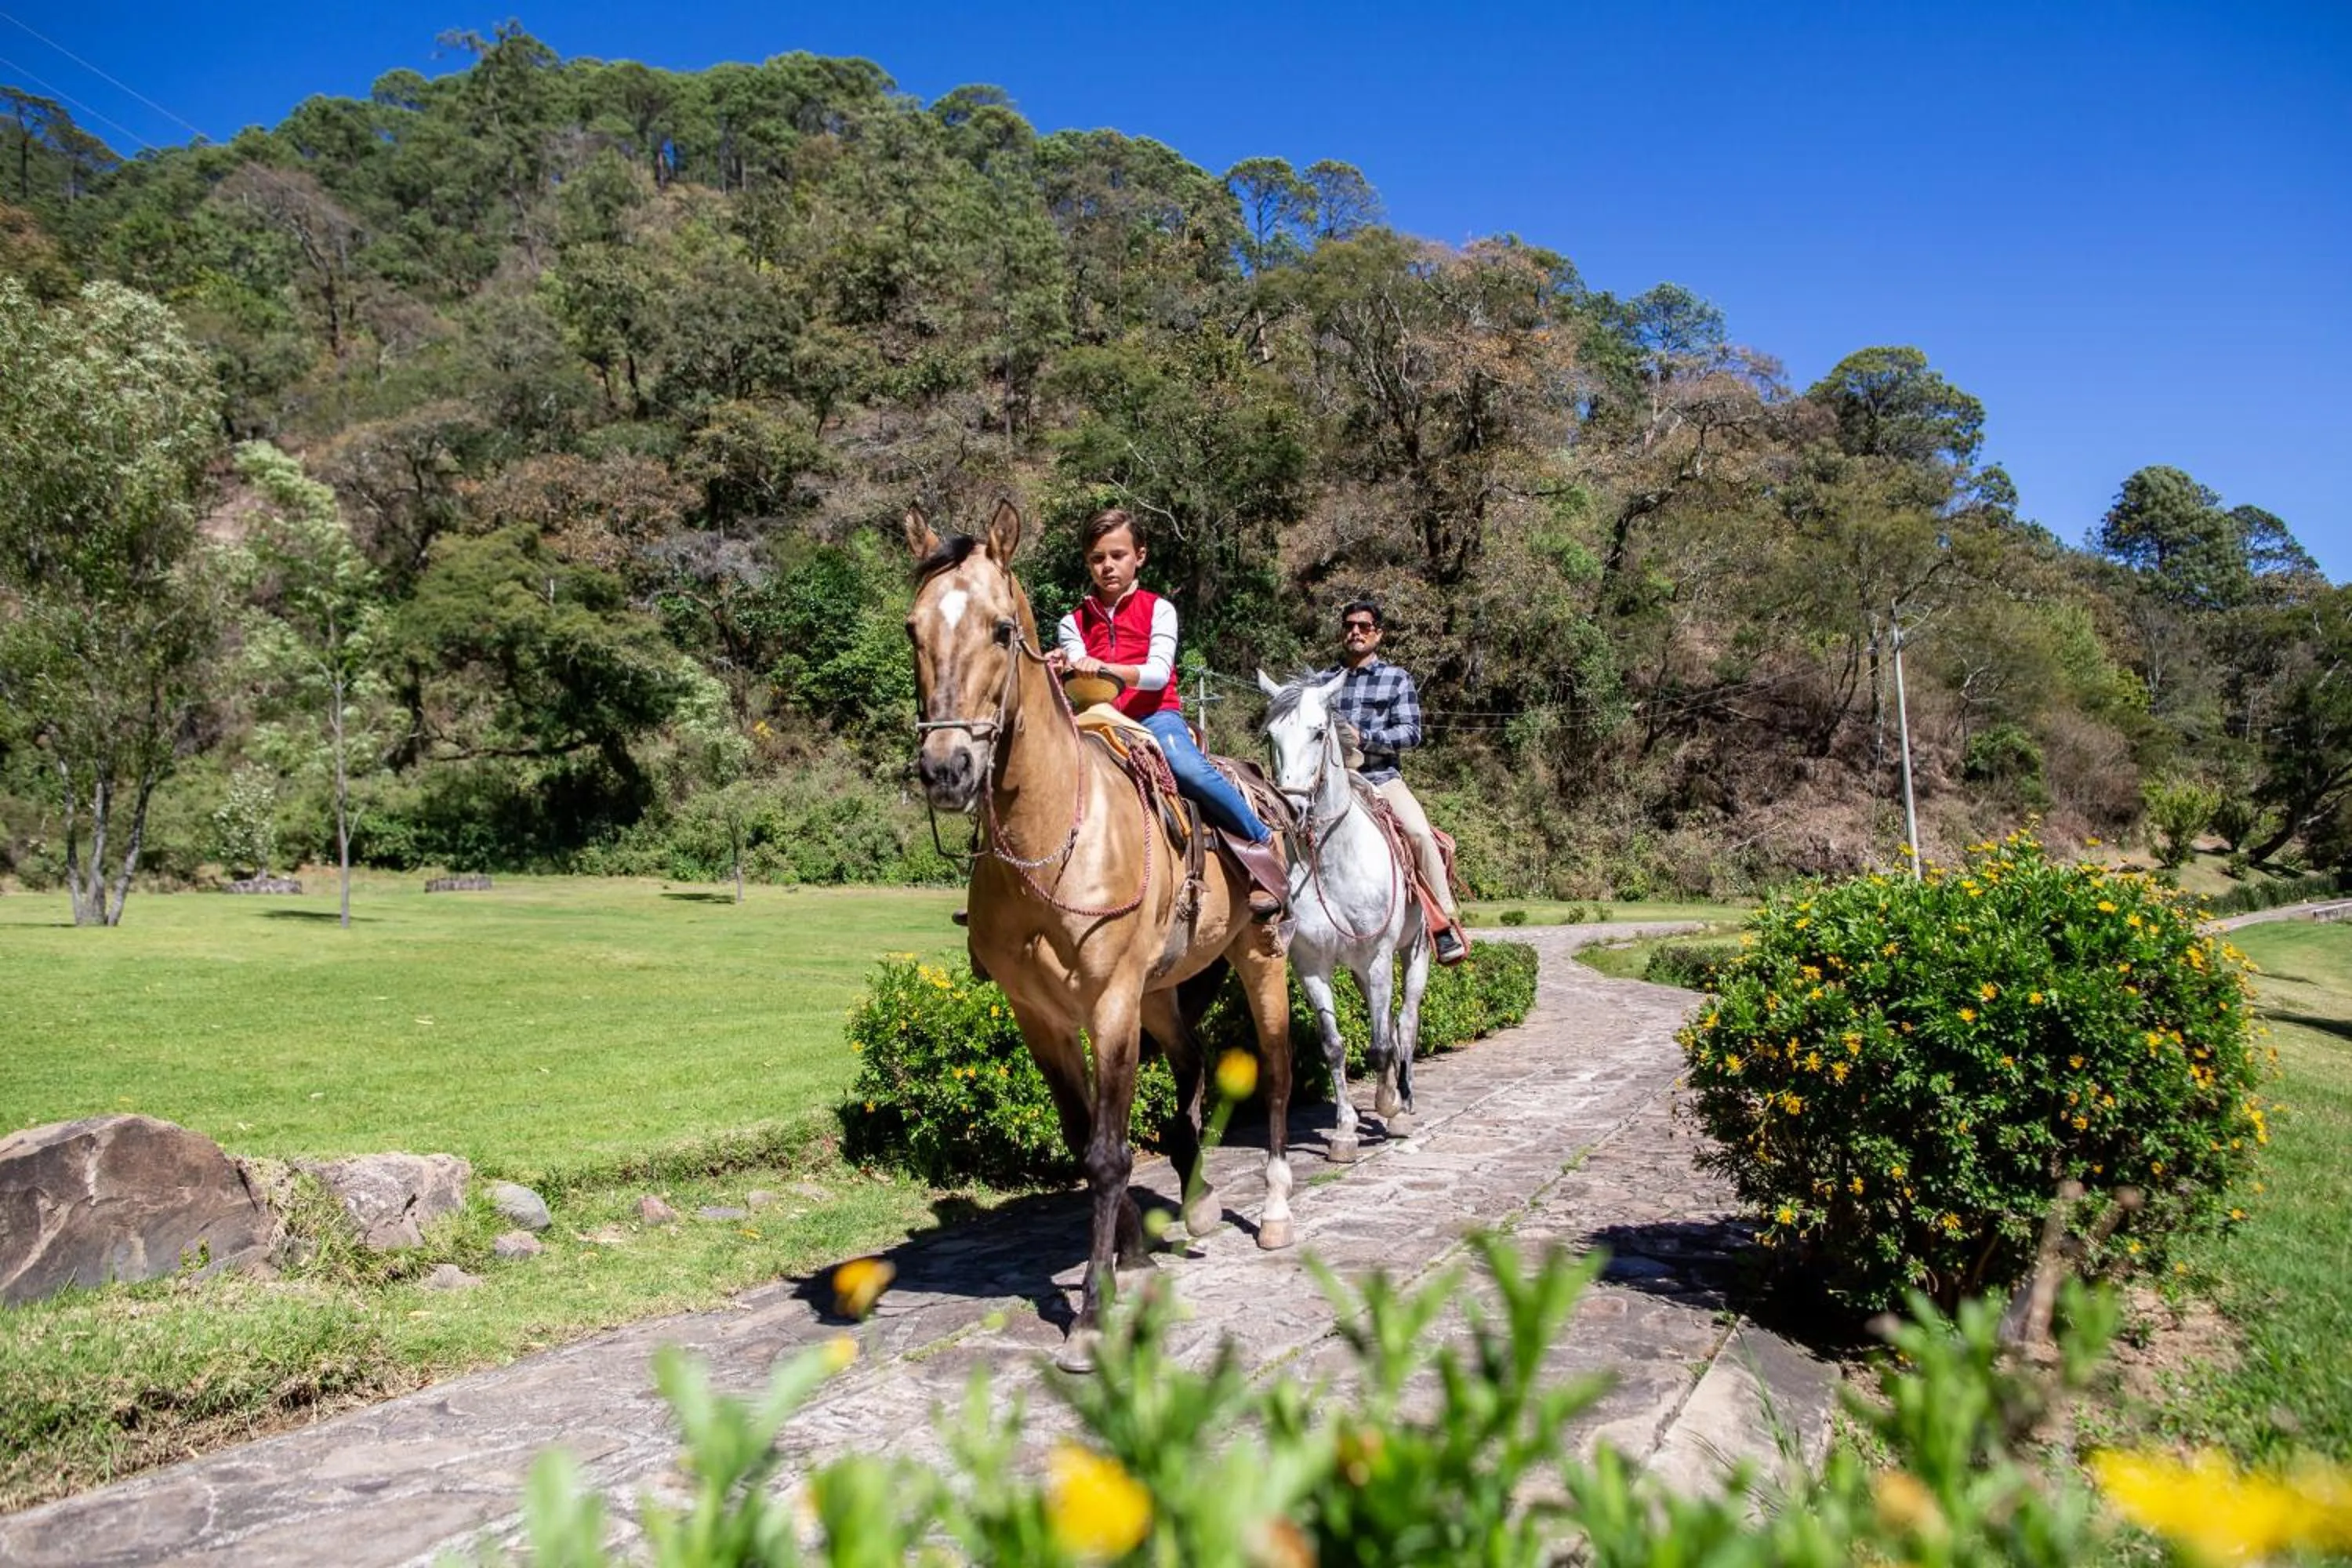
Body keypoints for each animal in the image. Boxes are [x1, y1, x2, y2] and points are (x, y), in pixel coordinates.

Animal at [905, 499, 1298, 1372]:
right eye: (914, 627)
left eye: (1000, 630)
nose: (947, 767)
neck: (1054, 838)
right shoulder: (1040, 1016)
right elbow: (1085, 1133)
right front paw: (1134, 1260)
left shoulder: (1110, 1003)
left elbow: (1111, 1151)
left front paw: (1092, 1313)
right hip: (1162, 991)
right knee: (1193, 1067)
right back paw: (1198, 1205)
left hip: (1259, 959)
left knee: (1280, 1073)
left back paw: (1277, 1210)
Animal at [1258, 669, 1431, 1161]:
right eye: (1271, 736)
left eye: (1319, 733)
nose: (1293, 808)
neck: (1331, 863)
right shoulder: (1311, 964)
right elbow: (1335, 1047)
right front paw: (1345, 1131)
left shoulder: (1378, 957)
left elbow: (1380, 1044)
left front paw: (1389, 1107)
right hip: (1357, 968)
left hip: (1415, 951)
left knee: (1405, 1022)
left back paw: (1404, 1100)